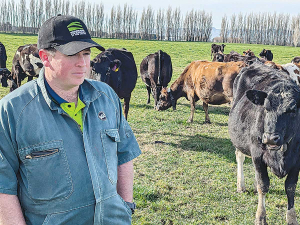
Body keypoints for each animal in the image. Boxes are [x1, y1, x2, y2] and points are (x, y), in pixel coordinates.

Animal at [227, 62, 300, 224]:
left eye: (293, 109)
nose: (270, 138)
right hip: (239, 139)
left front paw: (292, 218)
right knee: (240, 156)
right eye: (266, 108)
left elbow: (290, 187)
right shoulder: (257, 155)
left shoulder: (297, 161)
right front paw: (260, 217)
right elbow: (263, 185)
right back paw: (241, 185)